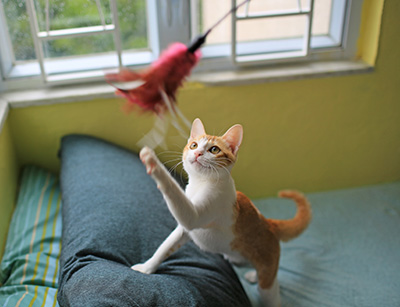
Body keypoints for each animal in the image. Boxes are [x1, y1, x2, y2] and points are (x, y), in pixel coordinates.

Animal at [133, 118, 310, 307]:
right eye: (194, 145)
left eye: (214, 149)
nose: (197, 153)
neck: (201, 183)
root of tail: (269, 222)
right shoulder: (183, 230)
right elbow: (165, 247)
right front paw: (146, 268)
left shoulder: (198, 213)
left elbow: (174, 191)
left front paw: (153, 162)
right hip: (239, 257)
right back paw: (252, 275)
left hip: (266, 277)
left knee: (271, 287)